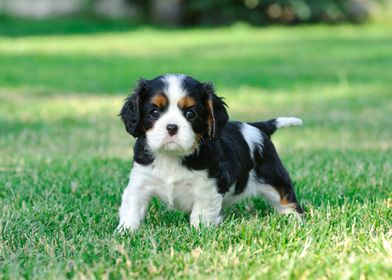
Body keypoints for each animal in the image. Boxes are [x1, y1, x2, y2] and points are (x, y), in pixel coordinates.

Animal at [118, 73, 302, 231]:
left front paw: (199, 231)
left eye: (190, 113)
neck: (172, 156)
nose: (171, 127)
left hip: (273, 177)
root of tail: (257, 126)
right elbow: (132, 208)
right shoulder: (140, 182)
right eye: (154, 111)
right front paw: (126, 232)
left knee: (287, 200)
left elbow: (201, 214)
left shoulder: (206, 187)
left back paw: (294, 220)